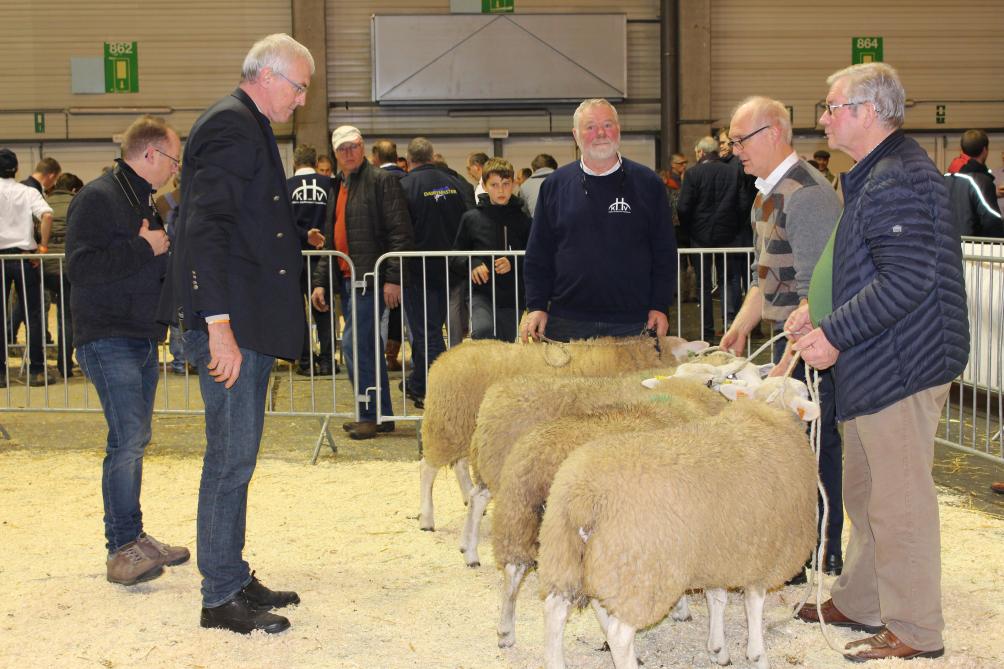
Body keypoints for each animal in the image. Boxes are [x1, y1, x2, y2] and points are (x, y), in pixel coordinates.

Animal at [415, 335, 706, 530]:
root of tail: (443, 358)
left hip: (463, 427)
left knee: (458, 463)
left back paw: (466, 496)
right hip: (446, 422)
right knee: (427, 469)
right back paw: (427, 518)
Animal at [538, 377, 819, 666]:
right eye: (805, 392)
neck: (770, 414)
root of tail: (585, 495)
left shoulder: (720, 551)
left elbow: (716, 598)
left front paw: (718, 649)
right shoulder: (764, 555)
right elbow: (753, 606)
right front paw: (757, 655)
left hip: (568, 556)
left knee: (555, 611)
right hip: (641, 572)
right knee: (619, 633)